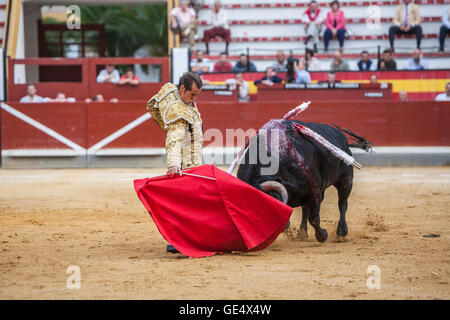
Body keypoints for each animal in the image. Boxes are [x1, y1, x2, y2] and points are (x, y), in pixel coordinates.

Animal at [237, 119, 370, 242]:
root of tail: (344, 141)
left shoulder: (314, 191)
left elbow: (314, 218)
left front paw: (323, 235)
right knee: (306, 209)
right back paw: (302, 234)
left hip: (345, 180)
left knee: (342, 204)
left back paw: (341, 232)